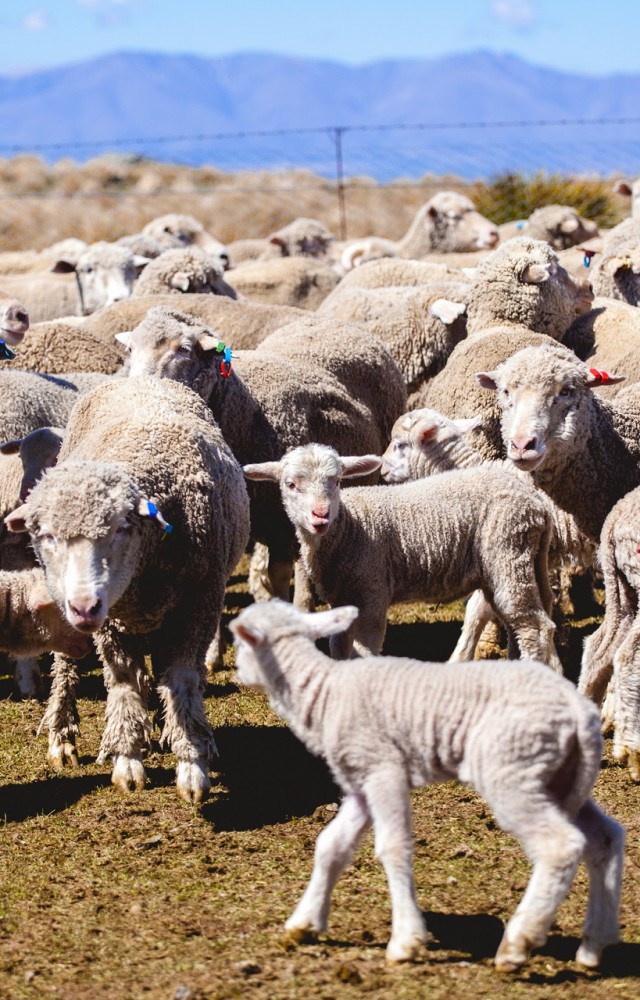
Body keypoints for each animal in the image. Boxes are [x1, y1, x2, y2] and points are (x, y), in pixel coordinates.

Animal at [6, 376, 250, 800]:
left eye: (121, 528)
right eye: (47, 535)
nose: (84, 607)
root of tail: (139, 377)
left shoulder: (198, 605)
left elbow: (182, 681)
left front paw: (191, 763)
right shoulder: (112, 624)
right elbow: (123, 686)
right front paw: (128, 762)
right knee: (66, 667)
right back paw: (62, 736)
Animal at [230, 599, 623, 970]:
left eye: (239, 641)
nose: (235, 671)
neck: (323, 693)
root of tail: (578, 710)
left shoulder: (383, 770)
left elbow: (393, 847)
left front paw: (406, 939)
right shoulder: (361, 779)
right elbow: (331, 846)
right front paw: (304, 922)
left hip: (513, 768)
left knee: (559, 845)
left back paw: (519, 941)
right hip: (558, 776)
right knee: (604, 837)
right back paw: (595, 943)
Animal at [243, 443, 562, 670]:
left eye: (337, 482)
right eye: (290, 484)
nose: (320, 515)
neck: (350, 529)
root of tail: (537, 504)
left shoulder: (372, 592)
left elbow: (363, 653)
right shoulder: (343, 597)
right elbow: (338, 648)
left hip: (508, 550)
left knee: (534, 628)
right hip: (518, 562)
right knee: (520, 622)